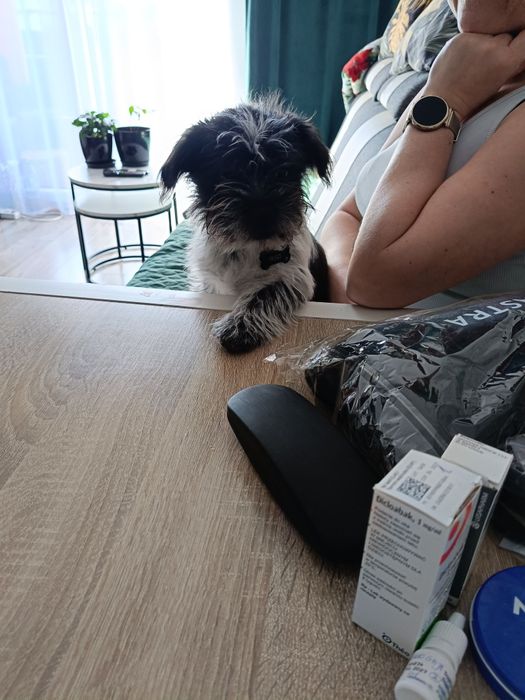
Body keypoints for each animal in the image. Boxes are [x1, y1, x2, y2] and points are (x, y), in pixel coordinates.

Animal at [160, 94, 331, 354]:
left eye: (284, 172)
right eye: (225, 173)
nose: (262, 213)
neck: (246, 249)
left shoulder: (293, 274)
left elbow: (266, 293)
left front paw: (240, 326)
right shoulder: (210, 283)